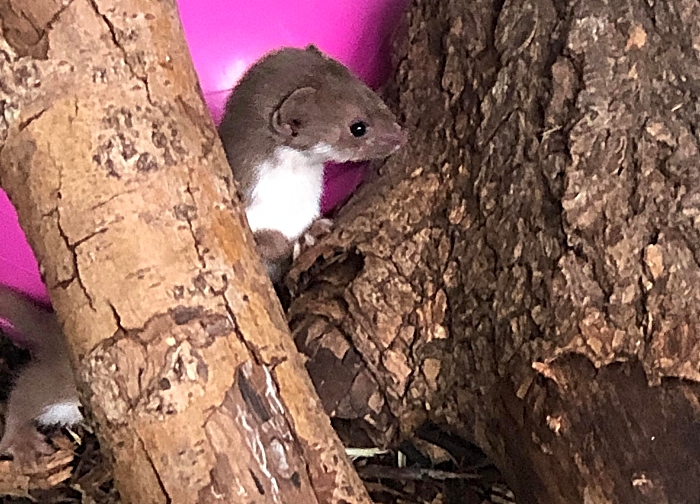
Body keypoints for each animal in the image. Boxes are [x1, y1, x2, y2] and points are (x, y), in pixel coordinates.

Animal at [217, 45, 404, 282]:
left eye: (368, 91)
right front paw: (296, 242)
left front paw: (315, 230)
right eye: (358, 127)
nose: (401, 136)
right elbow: (269, 243)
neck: (294, 200)